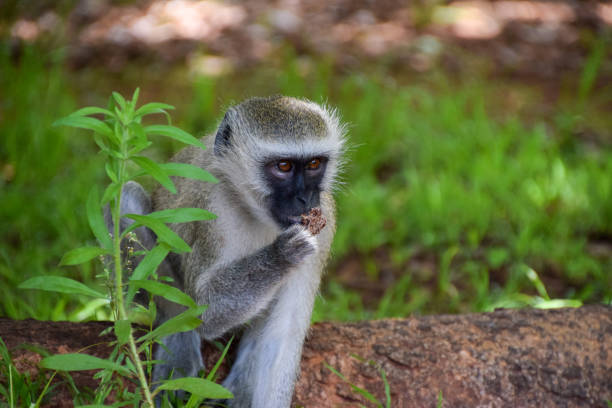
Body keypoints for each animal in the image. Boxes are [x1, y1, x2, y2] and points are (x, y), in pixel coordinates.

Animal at [115, 96, 344, 408]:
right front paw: (281, 254)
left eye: (314, 164)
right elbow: (203, 308)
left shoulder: (326, 220)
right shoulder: (213, 206)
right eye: (283, 166)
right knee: (127, 198)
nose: (305, 199)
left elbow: (283, 337)